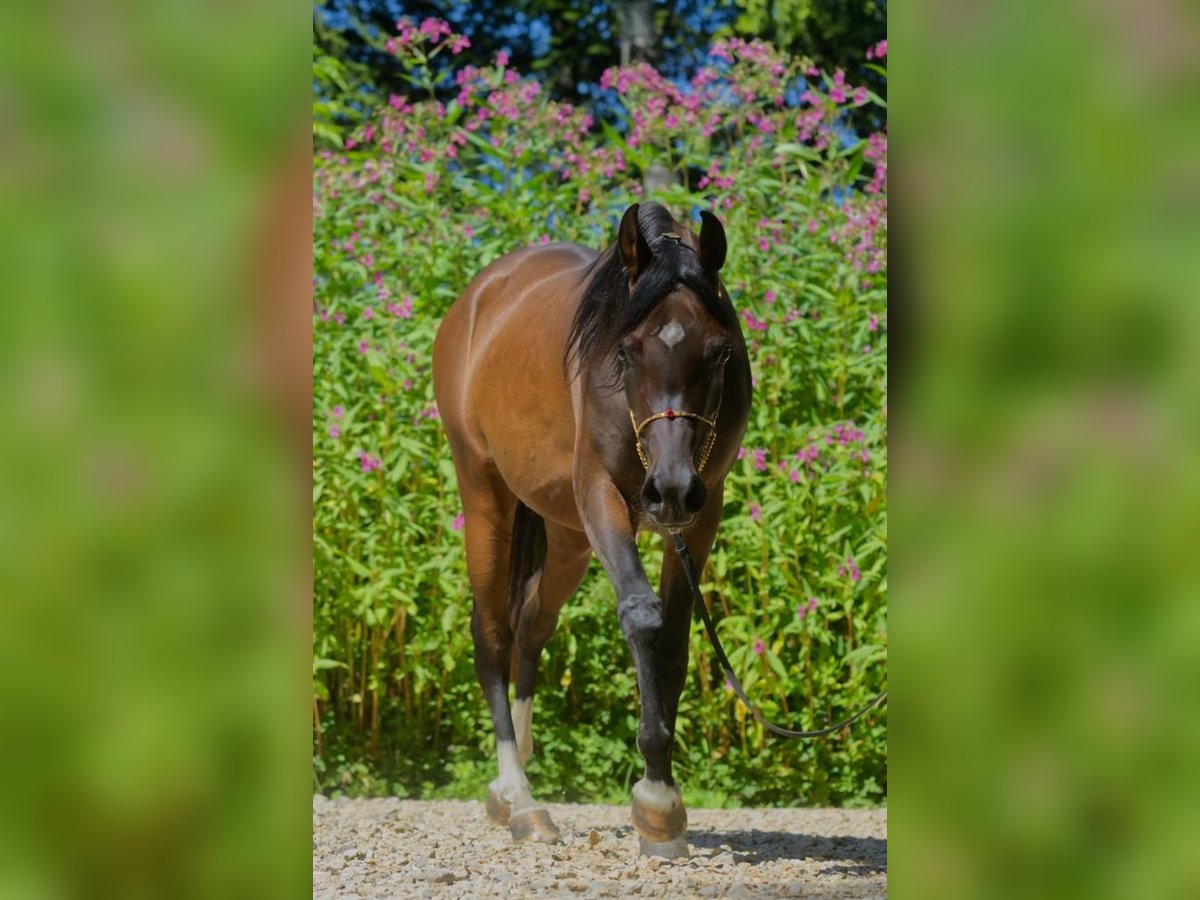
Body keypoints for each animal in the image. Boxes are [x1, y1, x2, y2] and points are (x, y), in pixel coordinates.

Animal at [432, 202, 751, 858]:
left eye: (720, 352)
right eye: (624, 352)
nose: (670, 489)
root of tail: (478, 297)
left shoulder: (702, 513)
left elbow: (674, 641)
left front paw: (664, 801)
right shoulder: (602, 497)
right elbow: (643, 616)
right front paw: (655, 798)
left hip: (568, 539)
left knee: (532, 625)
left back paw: (511, 786)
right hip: (485, 496)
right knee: (494, 634)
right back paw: (520, 797)